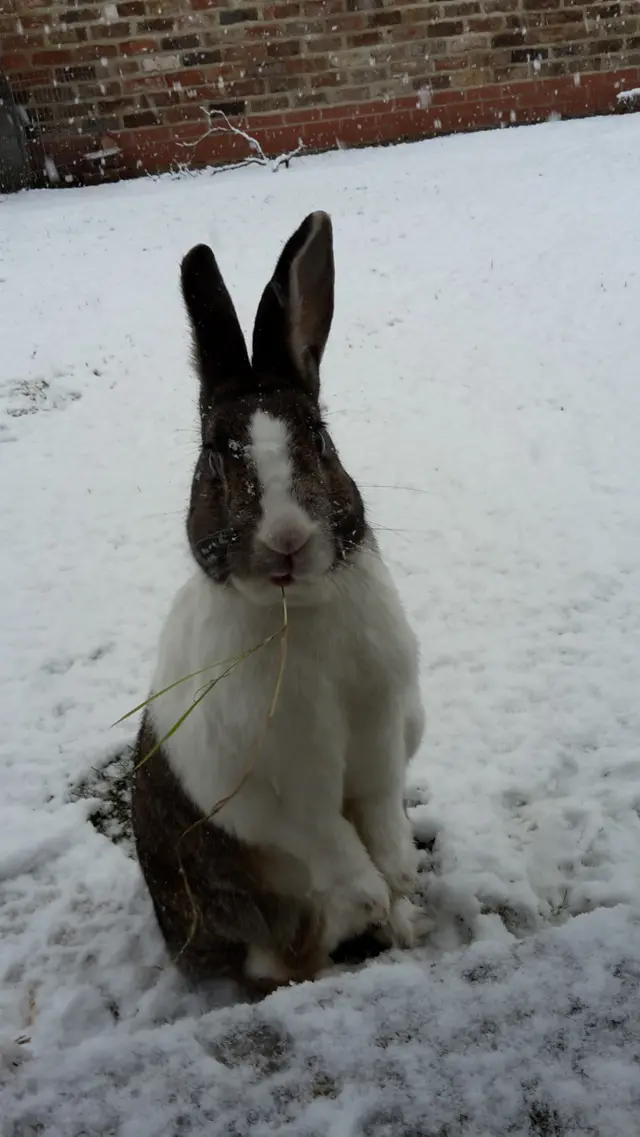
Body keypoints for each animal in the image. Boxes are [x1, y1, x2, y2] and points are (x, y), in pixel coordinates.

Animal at [131, 213, 425, 996]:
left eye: (320, 439)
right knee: (289, 955)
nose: (286, 540)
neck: (303, 611)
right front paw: (378, 897)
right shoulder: (278, 792)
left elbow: (382, 825)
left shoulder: (385, 739)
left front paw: (403, 890)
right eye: (212, 456)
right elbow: (335, 846)